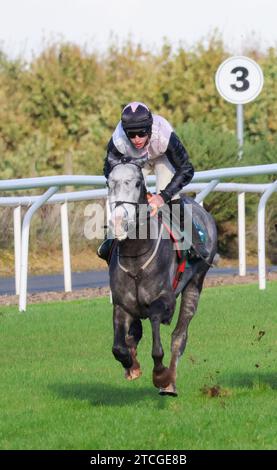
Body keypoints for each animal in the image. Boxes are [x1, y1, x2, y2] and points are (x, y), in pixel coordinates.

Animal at [106, 156, 217, 394]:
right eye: (109, 183)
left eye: (137, 183)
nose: (119, 221)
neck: (135, 256)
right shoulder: (121, 304)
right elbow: (118, 347)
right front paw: (131, 365)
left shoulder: (164, 300)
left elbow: (157, 339)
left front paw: (160, 375)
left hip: (195, 284)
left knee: (179, 336)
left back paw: (169, 384)